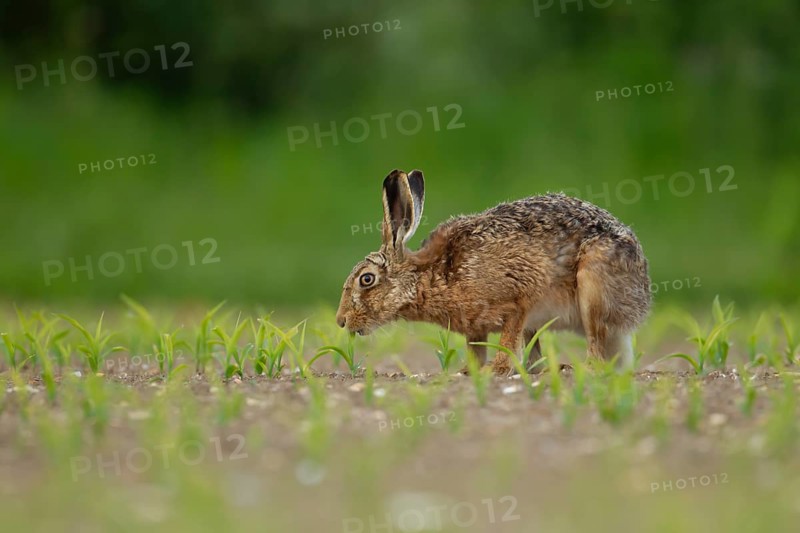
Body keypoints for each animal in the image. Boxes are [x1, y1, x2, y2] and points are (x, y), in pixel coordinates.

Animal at [335, 169, 651, 375]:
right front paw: (469, 371)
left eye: (366, 279)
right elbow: (476, 350)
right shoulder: (475, 328)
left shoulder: (518, 301)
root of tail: (641, 299)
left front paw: (494, 370)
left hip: (592, 286)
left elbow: (507, 342)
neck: (426, 276)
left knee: (596, 347)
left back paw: (577, 368)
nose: (341, 321)